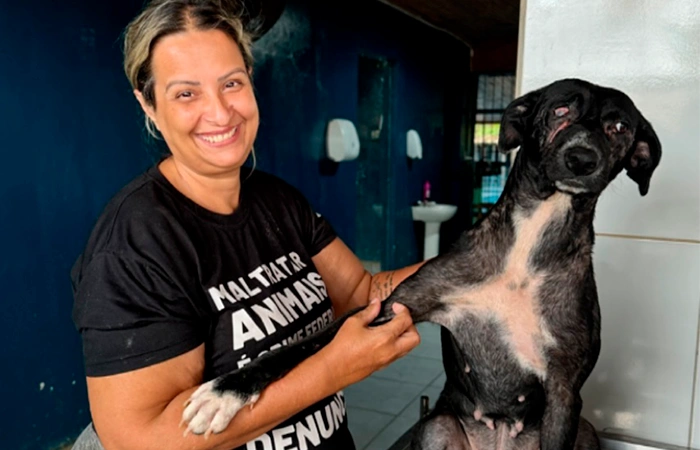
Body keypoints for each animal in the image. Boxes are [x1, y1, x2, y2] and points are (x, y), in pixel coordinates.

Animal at [180, 79, 660, 448]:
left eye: (618, 127)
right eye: (561, 109)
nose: (582, 159)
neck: (529, 246)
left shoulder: (564, 391)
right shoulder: (392, 306)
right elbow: (296, 348)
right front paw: (224, 391)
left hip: (585, 429)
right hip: (436, 426)